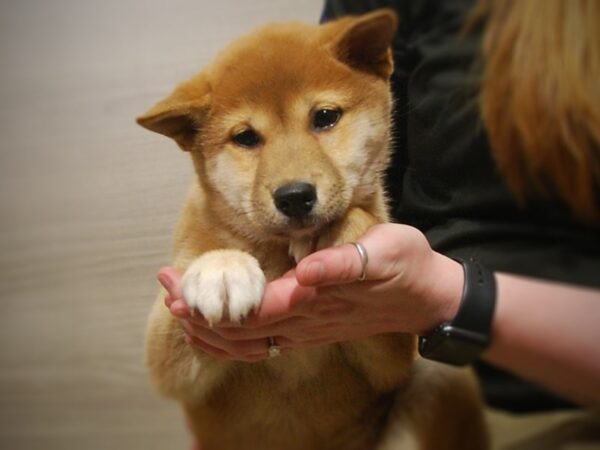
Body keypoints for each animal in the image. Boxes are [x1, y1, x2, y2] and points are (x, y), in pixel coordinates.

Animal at [136, 7, 488, 450]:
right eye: (245, 137)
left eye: (325, 117)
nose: (294, 196)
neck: (281, 254)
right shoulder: (171, 368)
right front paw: (222, 270)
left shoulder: (394, 359)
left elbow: (359, 218)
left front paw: (338, 230)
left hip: (440, 376)